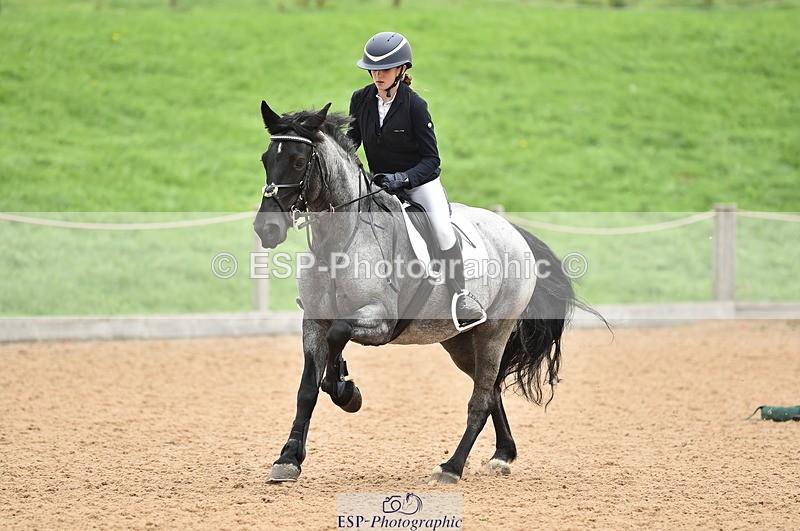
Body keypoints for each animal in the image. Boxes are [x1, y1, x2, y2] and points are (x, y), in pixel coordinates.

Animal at [253, 100, 605, 484]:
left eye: (299, 161)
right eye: (266, 158)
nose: (266, 229)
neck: (340, 240)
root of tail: (514, 231)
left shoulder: (378, 321)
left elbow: (338, 338)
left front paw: (348, 392)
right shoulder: (314, 321)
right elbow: (307, 390)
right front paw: (288, 459)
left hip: (494, 332)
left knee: (481, 398)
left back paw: (452, 467)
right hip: (460, 341)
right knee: (491, 389)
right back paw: (502, 455)